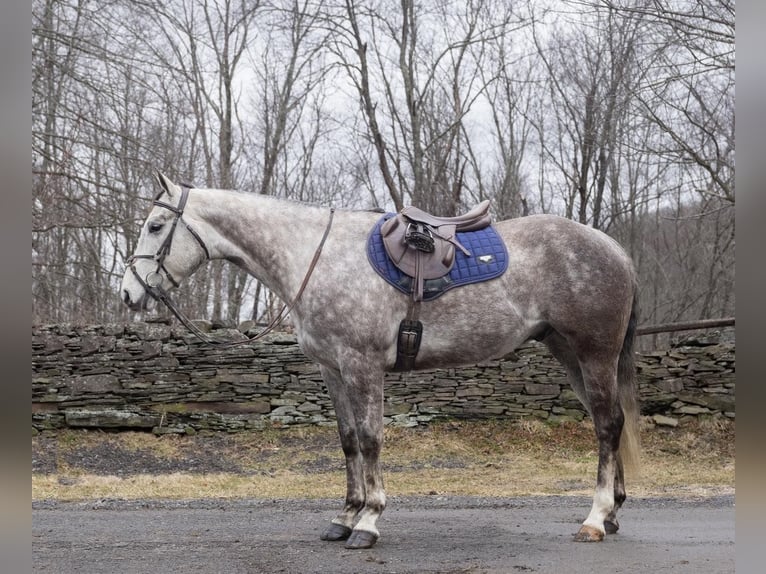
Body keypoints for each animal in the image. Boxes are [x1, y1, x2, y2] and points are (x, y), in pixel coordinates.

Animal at [121, 173, 640, 552]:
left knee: (607, 426)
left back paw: (595, 519)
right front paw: (344, 517)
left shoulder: (362, 366)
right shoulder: (333, 370)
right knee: (607, 423)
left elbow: (371, 440)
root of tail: (612, 247)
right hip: (569, 354)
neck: (315, 255)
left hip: (594, 354)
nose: (128, 294)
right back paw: (613, 512)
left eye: (154, 226)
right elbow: (349, 441)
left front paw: (368, 521)